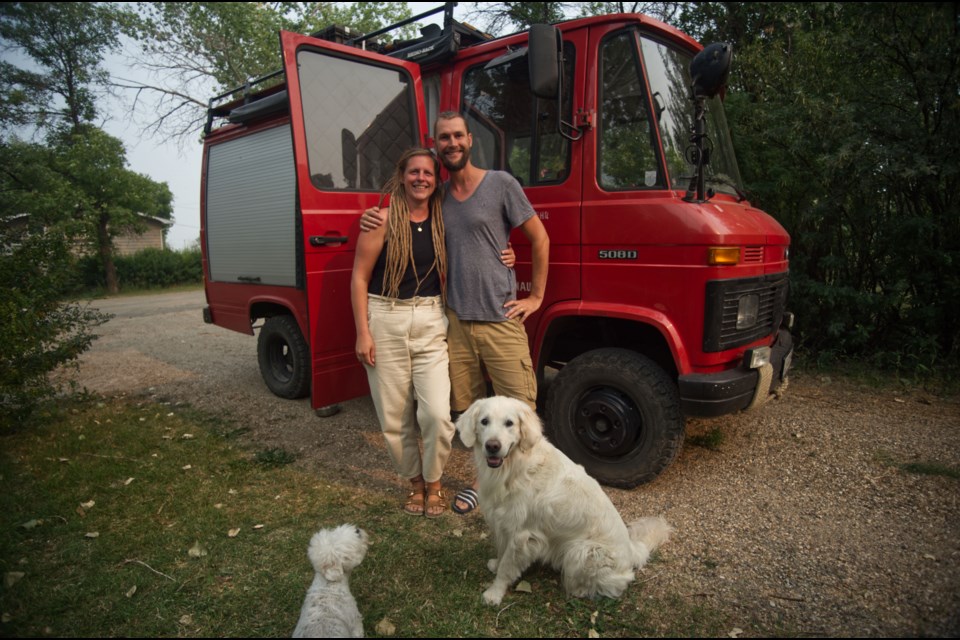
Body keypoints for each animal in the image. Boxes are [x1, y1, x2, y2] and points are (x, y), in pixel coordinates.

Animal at [460, 396, 676, 604]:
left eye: (509, 423)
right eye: (484, 421)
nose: (492, 446)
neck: (513, 468)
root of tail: (631, 550)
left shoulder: (521, 534)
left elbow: (507, 566)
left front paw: (494, 593)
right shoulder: (504, 522)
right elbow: (501, 551)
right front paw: (496, 565)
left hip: (581, 551)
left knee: (615, 584)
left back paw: (577, 590)